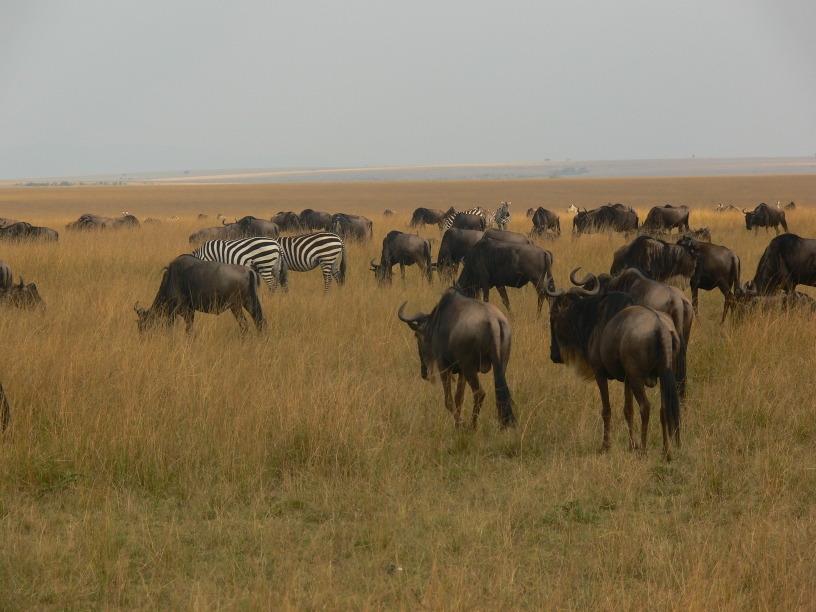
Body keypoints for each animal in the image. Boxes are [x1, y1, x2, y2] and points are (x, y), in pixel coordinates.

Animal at [134, 255, 265, 336]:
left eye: (143, 326)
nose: (142, 338)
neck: (170, 280)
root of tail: (249, 271)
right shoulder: (190, 311)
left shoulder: (180, 311)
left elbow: (184, 329)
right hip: (249, 303)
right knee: (259, 321)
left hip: (236, 306)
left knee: (244, 324)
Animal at [398, 288, 515, 429]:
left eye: (416, 336)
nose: (424, 374)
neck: (436, 323)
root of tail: (492, 321)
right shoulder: (461, 372)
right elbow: (459, 398)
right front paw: (458, 425)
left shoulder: (444, 366)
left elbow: (449, 400)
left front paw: (460, 424)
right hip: (500, 364)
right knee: (501, 394)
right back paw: (502, 425)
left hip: (470, 368)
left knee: (479, 393)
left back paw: (472, 426)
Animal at [543, 281, 681, 458]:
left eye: (553, 315)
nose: (554, 356)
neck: (596, 319)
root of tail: (661, 328)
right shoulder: (627, 380)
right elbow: (628, 410)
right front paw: (632, 445)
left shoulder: (600, 373)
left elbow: (606, 410)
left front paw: (606, 447)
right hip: (664, 376)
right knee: (663, 409)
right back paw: (666, 452)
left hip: (638, 379)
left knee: (645, 406)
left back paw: (644, 451)